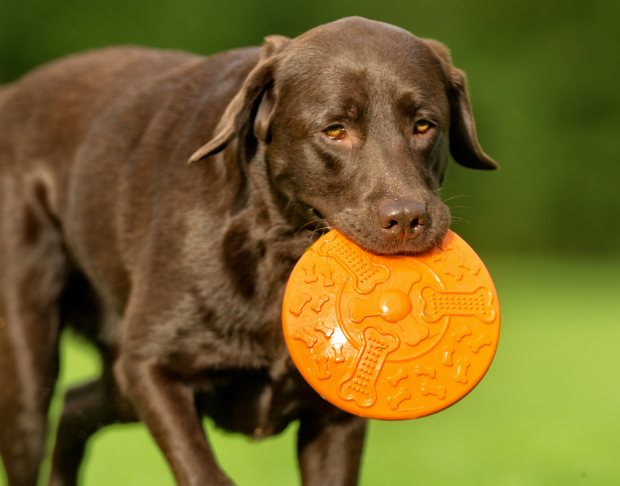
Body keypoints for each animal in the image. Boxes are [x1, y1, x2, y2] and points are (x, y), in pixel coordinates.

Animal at [0, 17, 496, 486]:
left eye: (423, 125)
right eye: (335, 130)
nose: (408, 219)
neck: (278, 252)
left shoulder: (336, 415)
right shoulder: (149, 367)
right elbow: (203, 471)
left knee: (75, 404)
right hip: (30, 370)